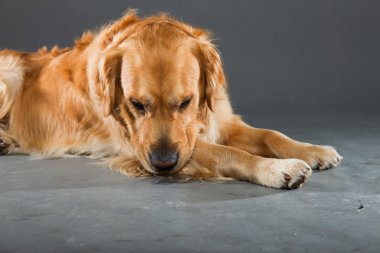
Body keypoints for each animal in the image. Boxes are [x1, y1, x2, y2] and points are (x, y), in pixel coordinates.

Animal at [0, 11, 342, 190]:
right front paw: (277, 169)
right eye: (137, 104)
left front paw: (313, 150)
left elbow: (271, 135)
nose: (163, 164)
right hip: (10, 74)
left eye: (186, 101)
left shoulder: (221, 120)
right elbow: (230, 154)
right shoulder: (138, 145)